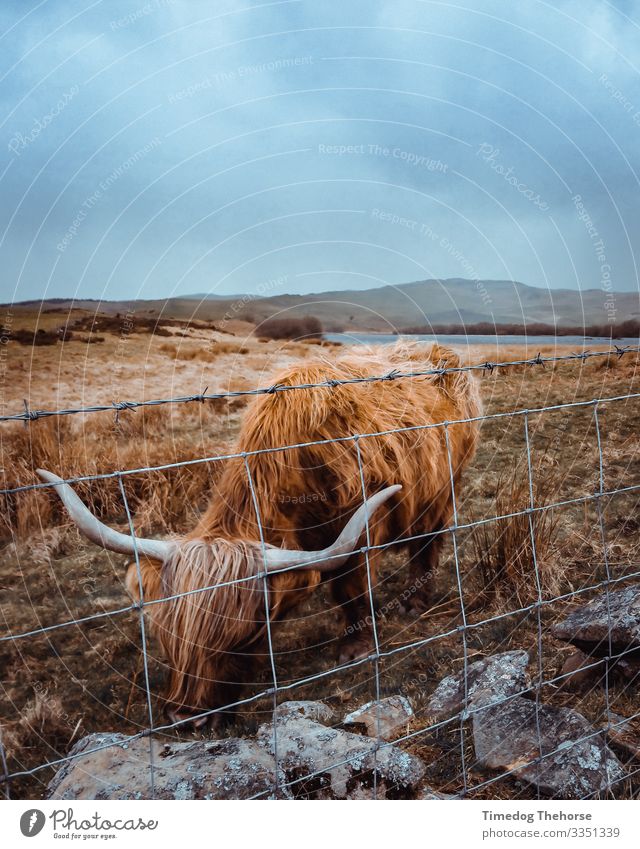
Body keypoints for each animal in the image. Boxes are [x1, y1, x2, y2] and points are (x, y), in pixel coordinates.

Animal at [40, 342, 480, 724]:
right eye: (166, 632)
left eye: (243, 636)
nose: (187, 718)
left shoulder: (359, 533)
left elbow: (350, 589)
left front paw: (354, 649)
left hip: (445, 489)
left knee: (428, 543)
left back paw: (415, 601)